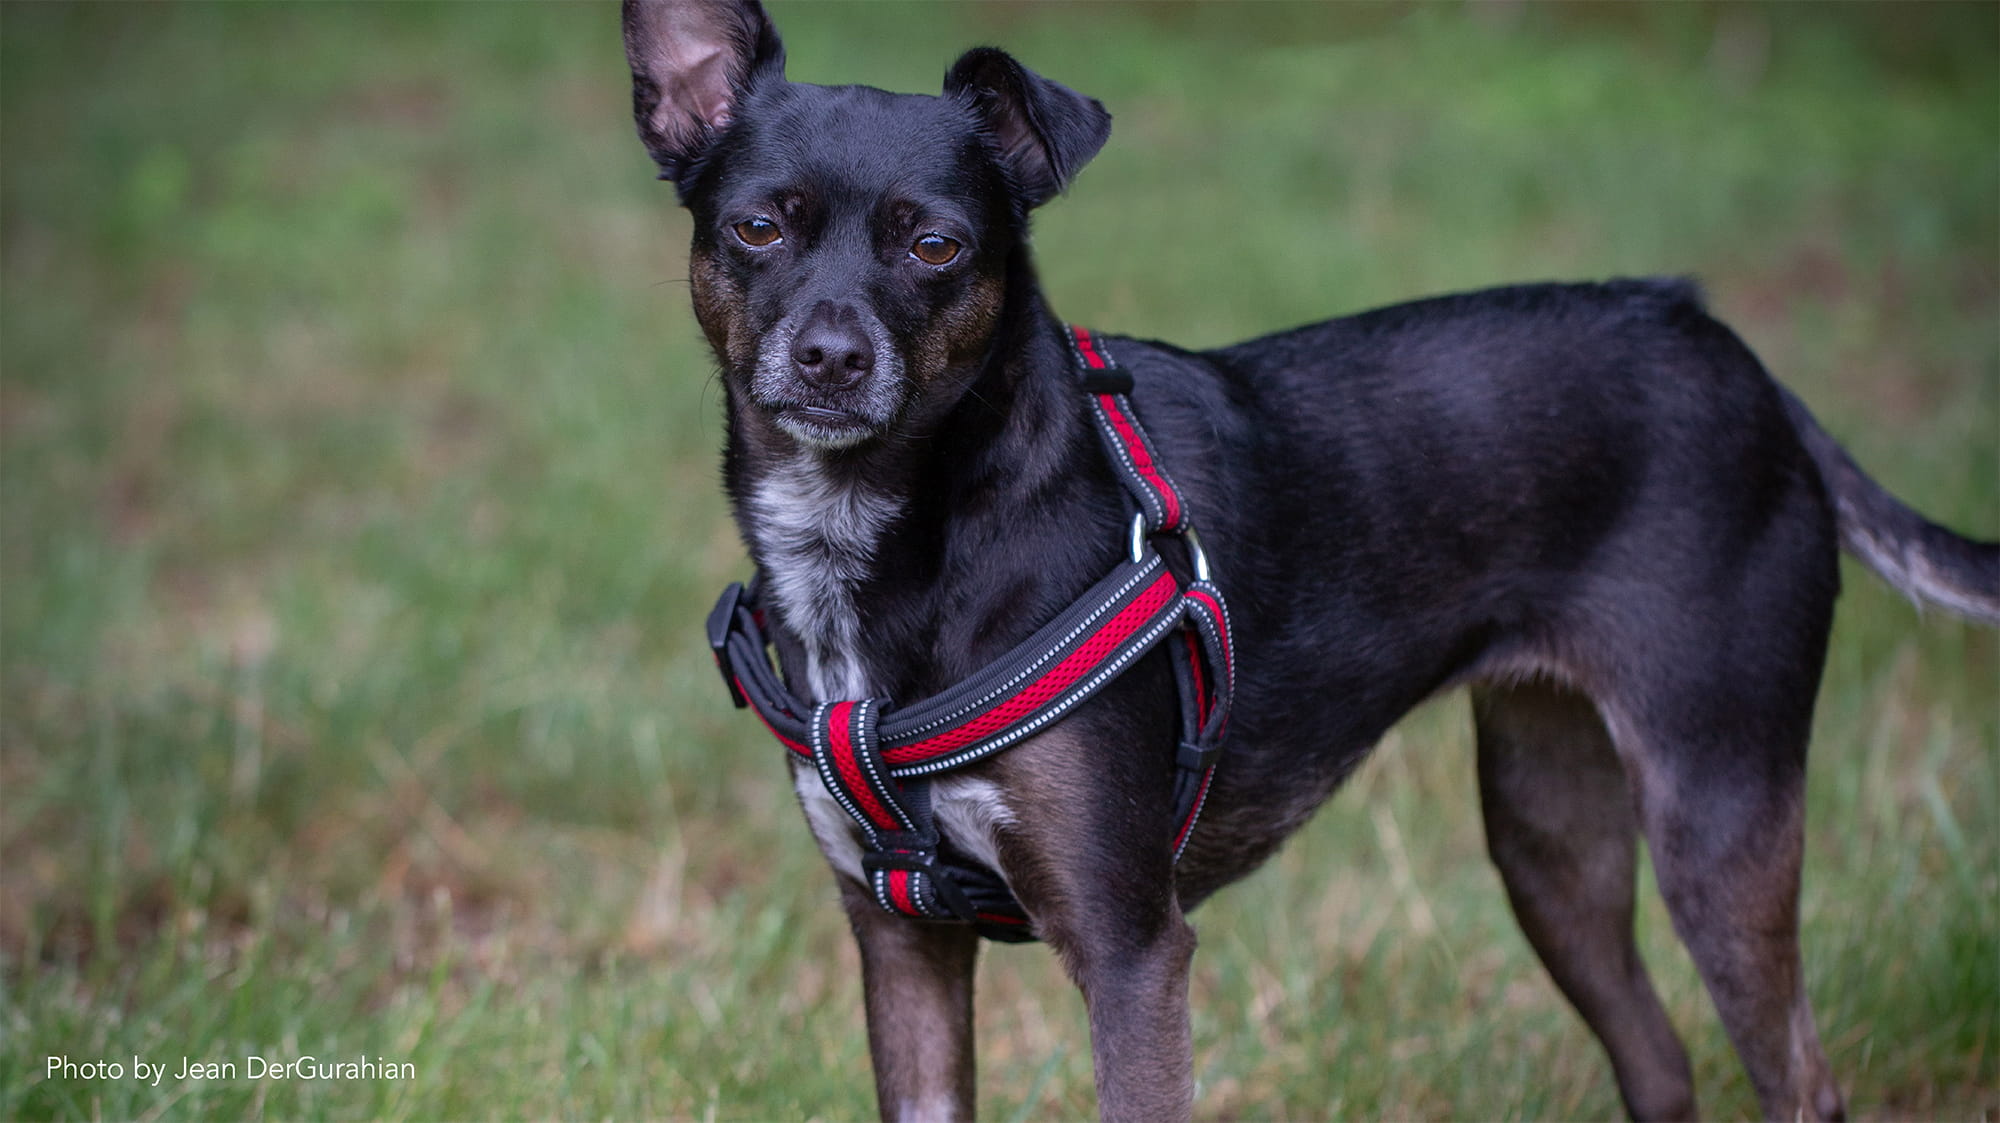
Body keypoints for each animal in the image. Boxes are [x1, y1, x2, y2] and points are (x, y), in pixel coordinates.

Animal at [616, 4, 1992, 1111]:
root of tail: (1725, 346)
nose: (830, 357)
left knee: (1799, 1081)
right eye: (756, 227)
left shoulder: (1129, 950)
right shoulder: (899, 940)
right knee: (1656, 1060)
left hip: (1715, 810)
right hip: (1548, 836)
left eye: (935, 246)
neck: (891, 529)